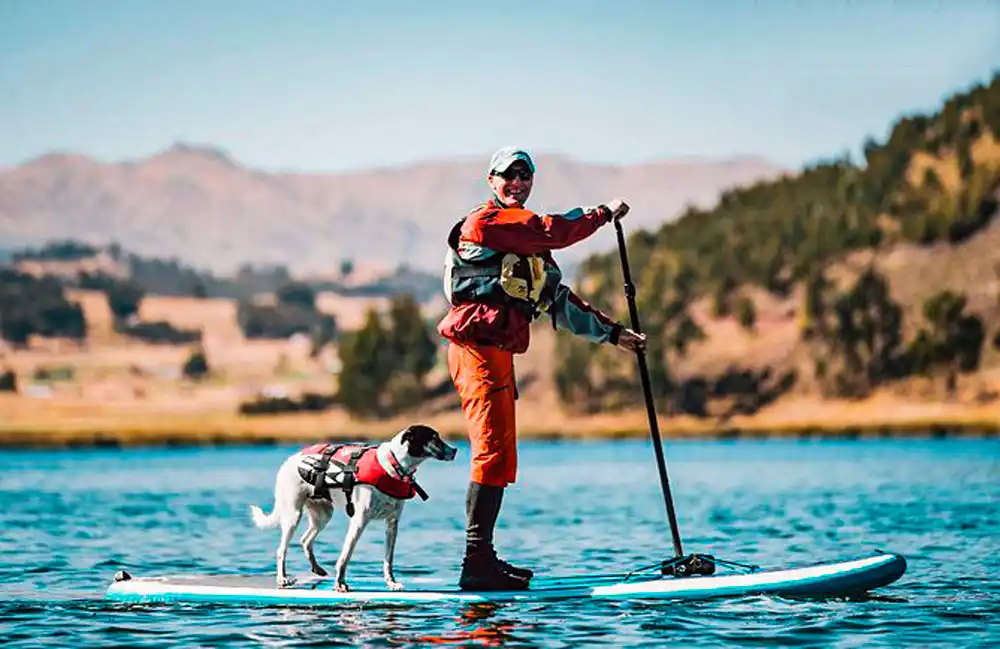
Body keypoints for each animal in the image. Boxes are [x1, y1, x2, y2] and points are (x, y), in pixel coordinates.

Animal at [250, 422, 458, 588]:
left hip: (323, 515)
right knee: (281, 549)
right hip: (293, 515)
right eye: (434, 438)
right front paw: (340, 583)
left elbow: (388, 560)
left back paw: (317, 568)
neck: (393, 466)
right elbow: (346, 555)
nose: (455, 450)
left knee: (305, 540)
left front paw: (391, 583)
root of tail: (289, 460)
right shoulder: (359, 521)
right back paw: (282, 578)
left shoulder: (392, 524)